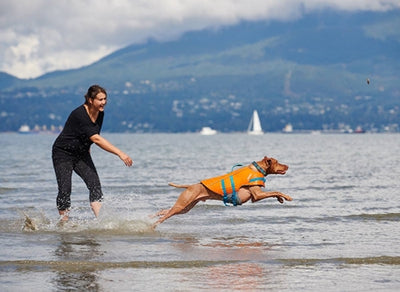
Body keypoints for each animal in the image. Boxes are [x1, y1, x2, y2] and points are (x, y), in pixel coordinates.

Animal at [152, 156, 290, 227]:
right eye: (278, 162)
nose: (288, 166)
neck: (258, 169)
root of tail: (190, 186)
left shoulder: (256, 196)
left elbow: (274, 193)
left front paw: (281, 199)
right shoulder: (257, 195)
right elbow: (276, 191)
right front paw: (287, 197)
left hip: (185, 208)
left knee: (164, 211)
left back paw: (151, 217)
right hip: (182, 205)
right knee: (164, 216)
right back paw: (153, 224)